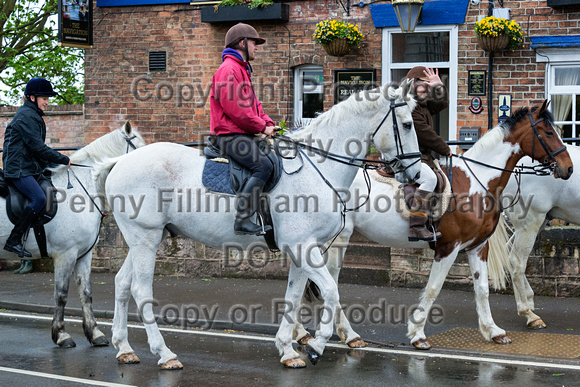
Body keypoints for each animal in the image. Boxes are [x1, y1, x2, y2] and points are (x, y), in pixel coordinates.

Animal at [0, 122, 145, 348]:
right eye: (140, 148)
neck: (80, 189)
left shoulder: (83, 254)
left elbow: (86, 292)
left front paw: (95, 333)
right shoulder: (65, 254)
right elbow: (61, 294)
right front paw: (61, 335)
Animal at [101, 82, 422, 370]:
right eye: (407, 124)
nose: (416, 174)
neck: (318, 168)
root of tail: (119, 162)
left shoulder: (304, 249)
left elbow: (293, 296)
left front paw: (288, 349)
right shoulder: (302, 247)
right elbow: (331, 291)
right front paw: (317, 345)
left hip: (141, 240)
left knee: (122, 283)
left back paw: (124, 348)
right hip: (146, 238)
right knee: (140, 289)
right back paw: (164, 353)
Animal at [488, 147, 580, 328]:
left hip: (534, 224)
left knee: (510, 254)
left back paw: (529, 302)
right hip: (530, 224)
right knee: (517, 261)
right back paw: (529, 314)